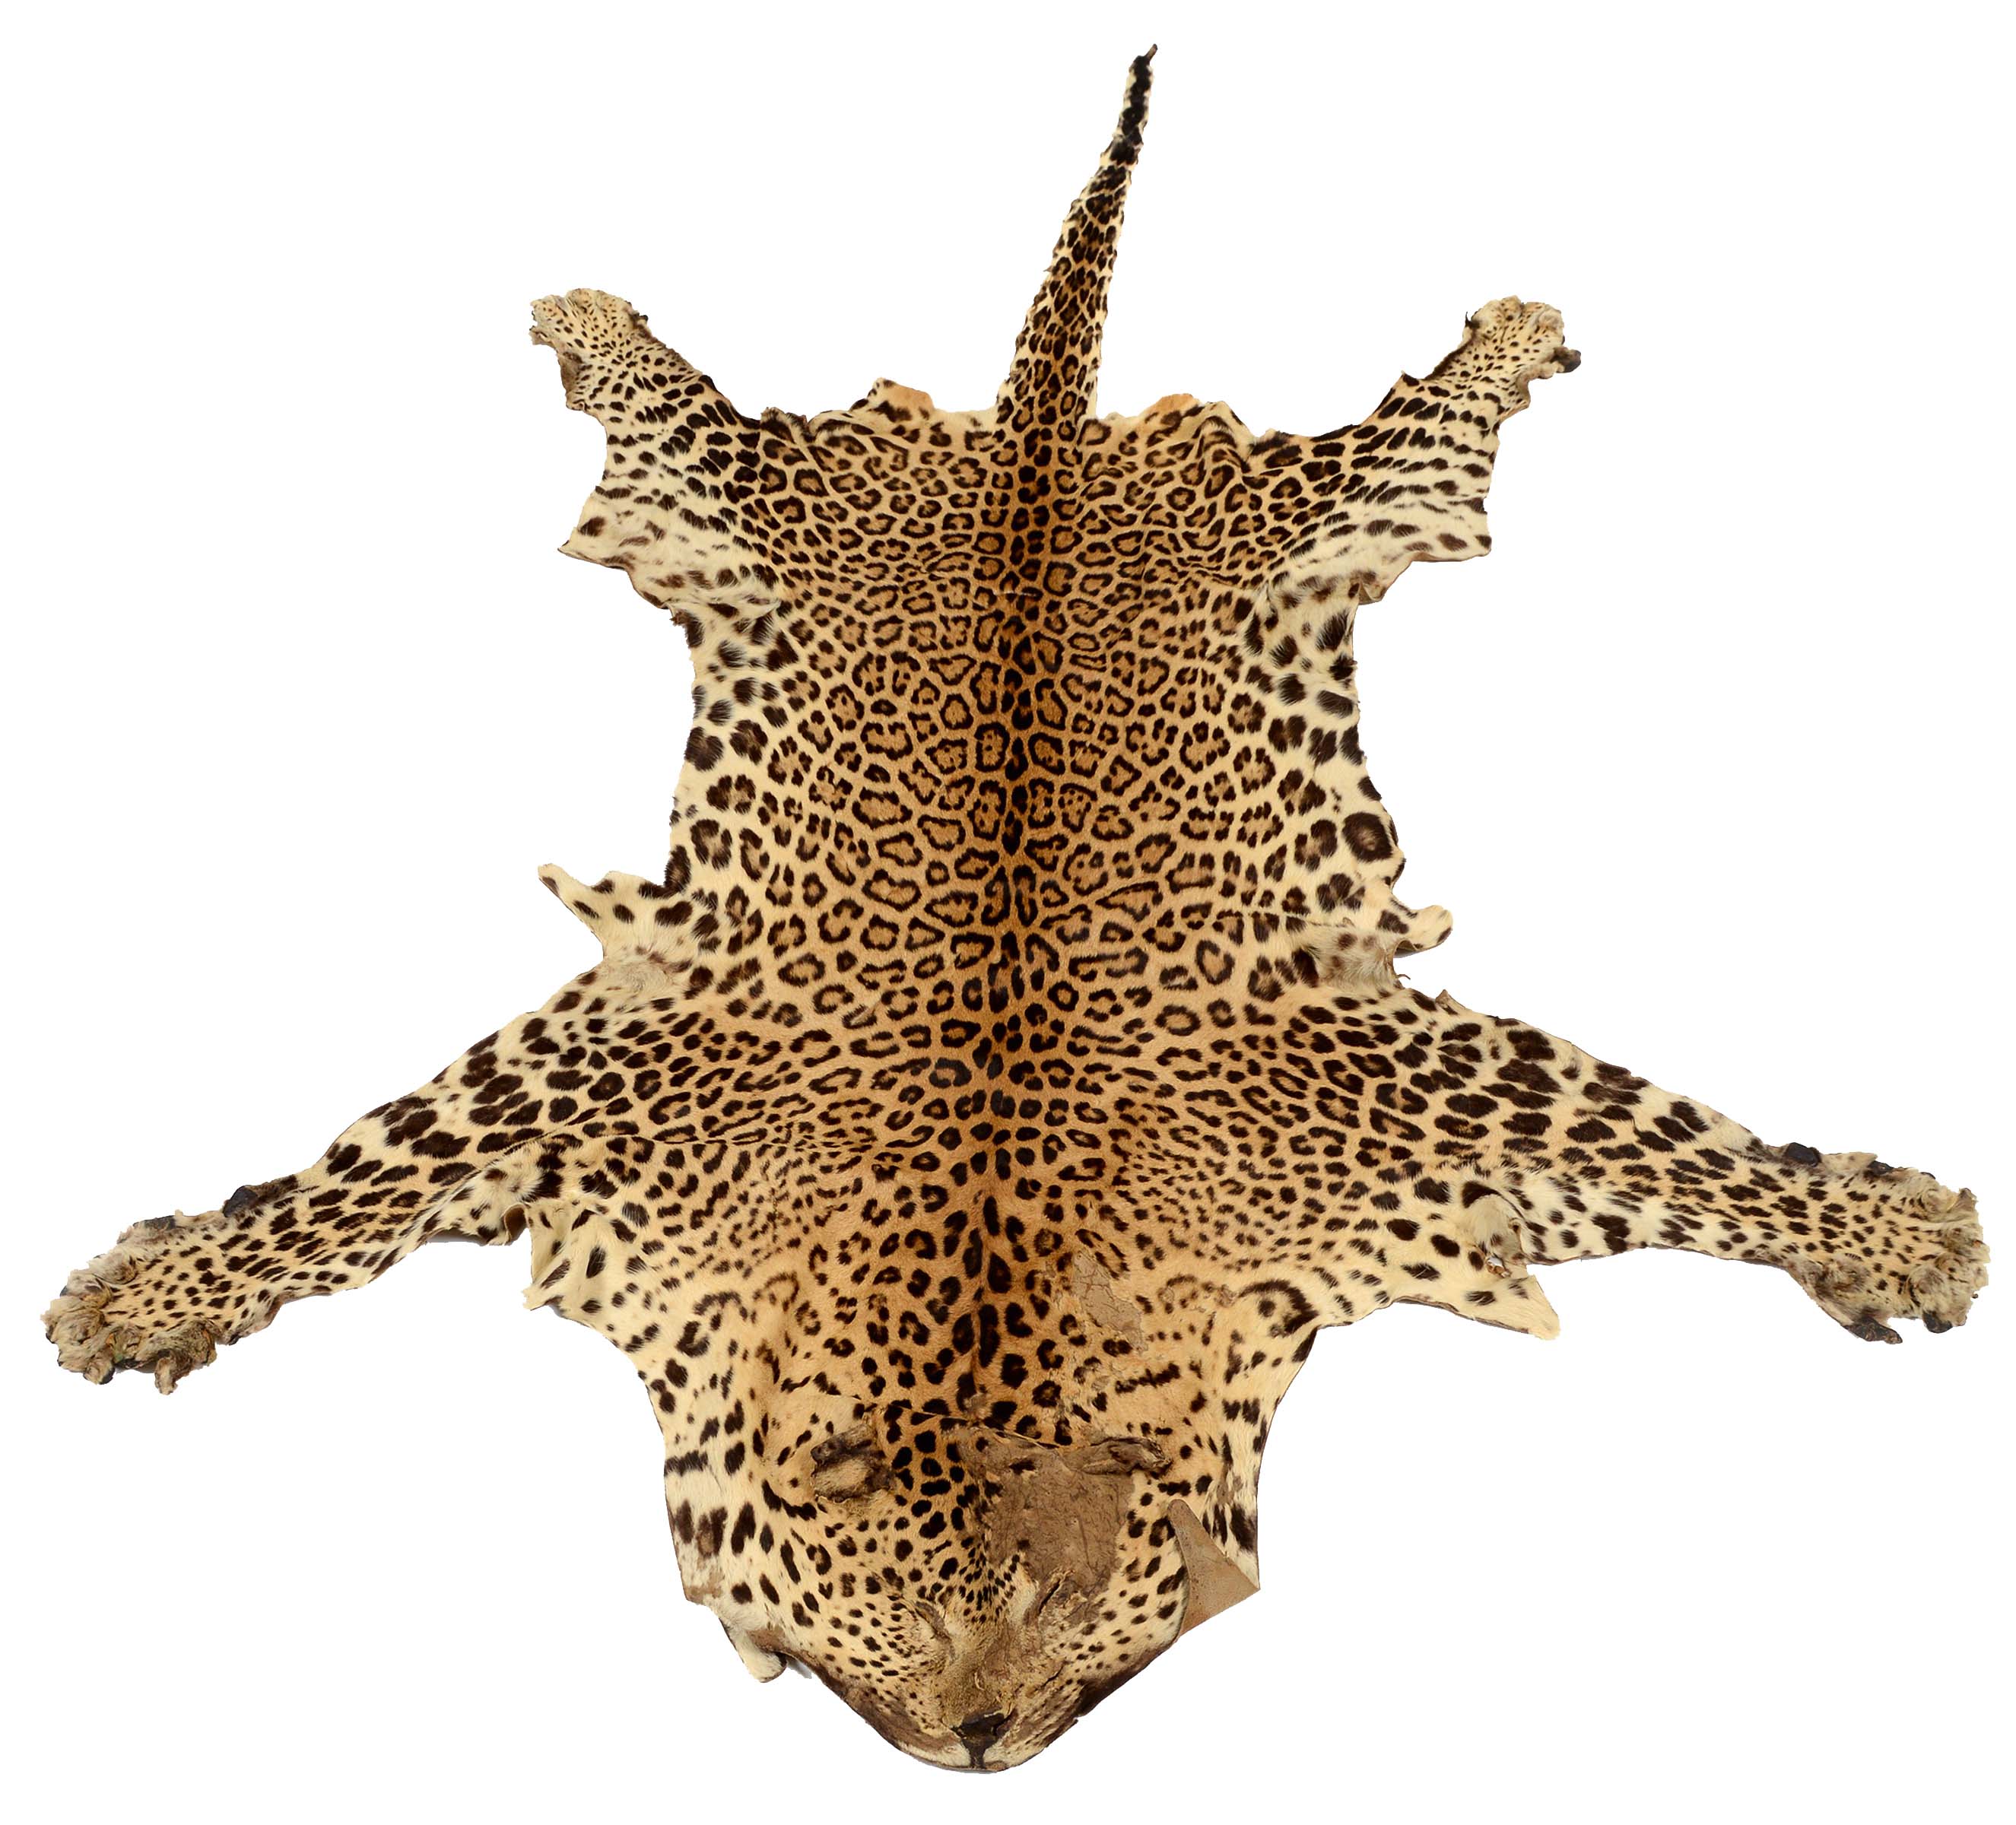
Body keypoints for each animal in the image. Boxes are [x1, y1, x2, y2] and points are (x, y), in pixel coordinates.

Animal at [44, 48, 1986, 1770]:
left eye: (1072, 1616)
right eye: (894, 1614)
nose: (976, 1740)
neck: (985, 1222)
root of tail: (1033, 459)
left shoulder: (1387, 1112)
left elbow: (1668, 1142)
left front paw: (1893, 1236)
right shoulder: (605, 1076)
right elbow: (345, 1183)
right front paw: (138, 1294)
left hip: (1299, 513)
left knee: (1408, 428)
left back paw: (1503, 333)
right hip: (777, 505)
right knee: (693, 417)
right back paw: (595, 321)